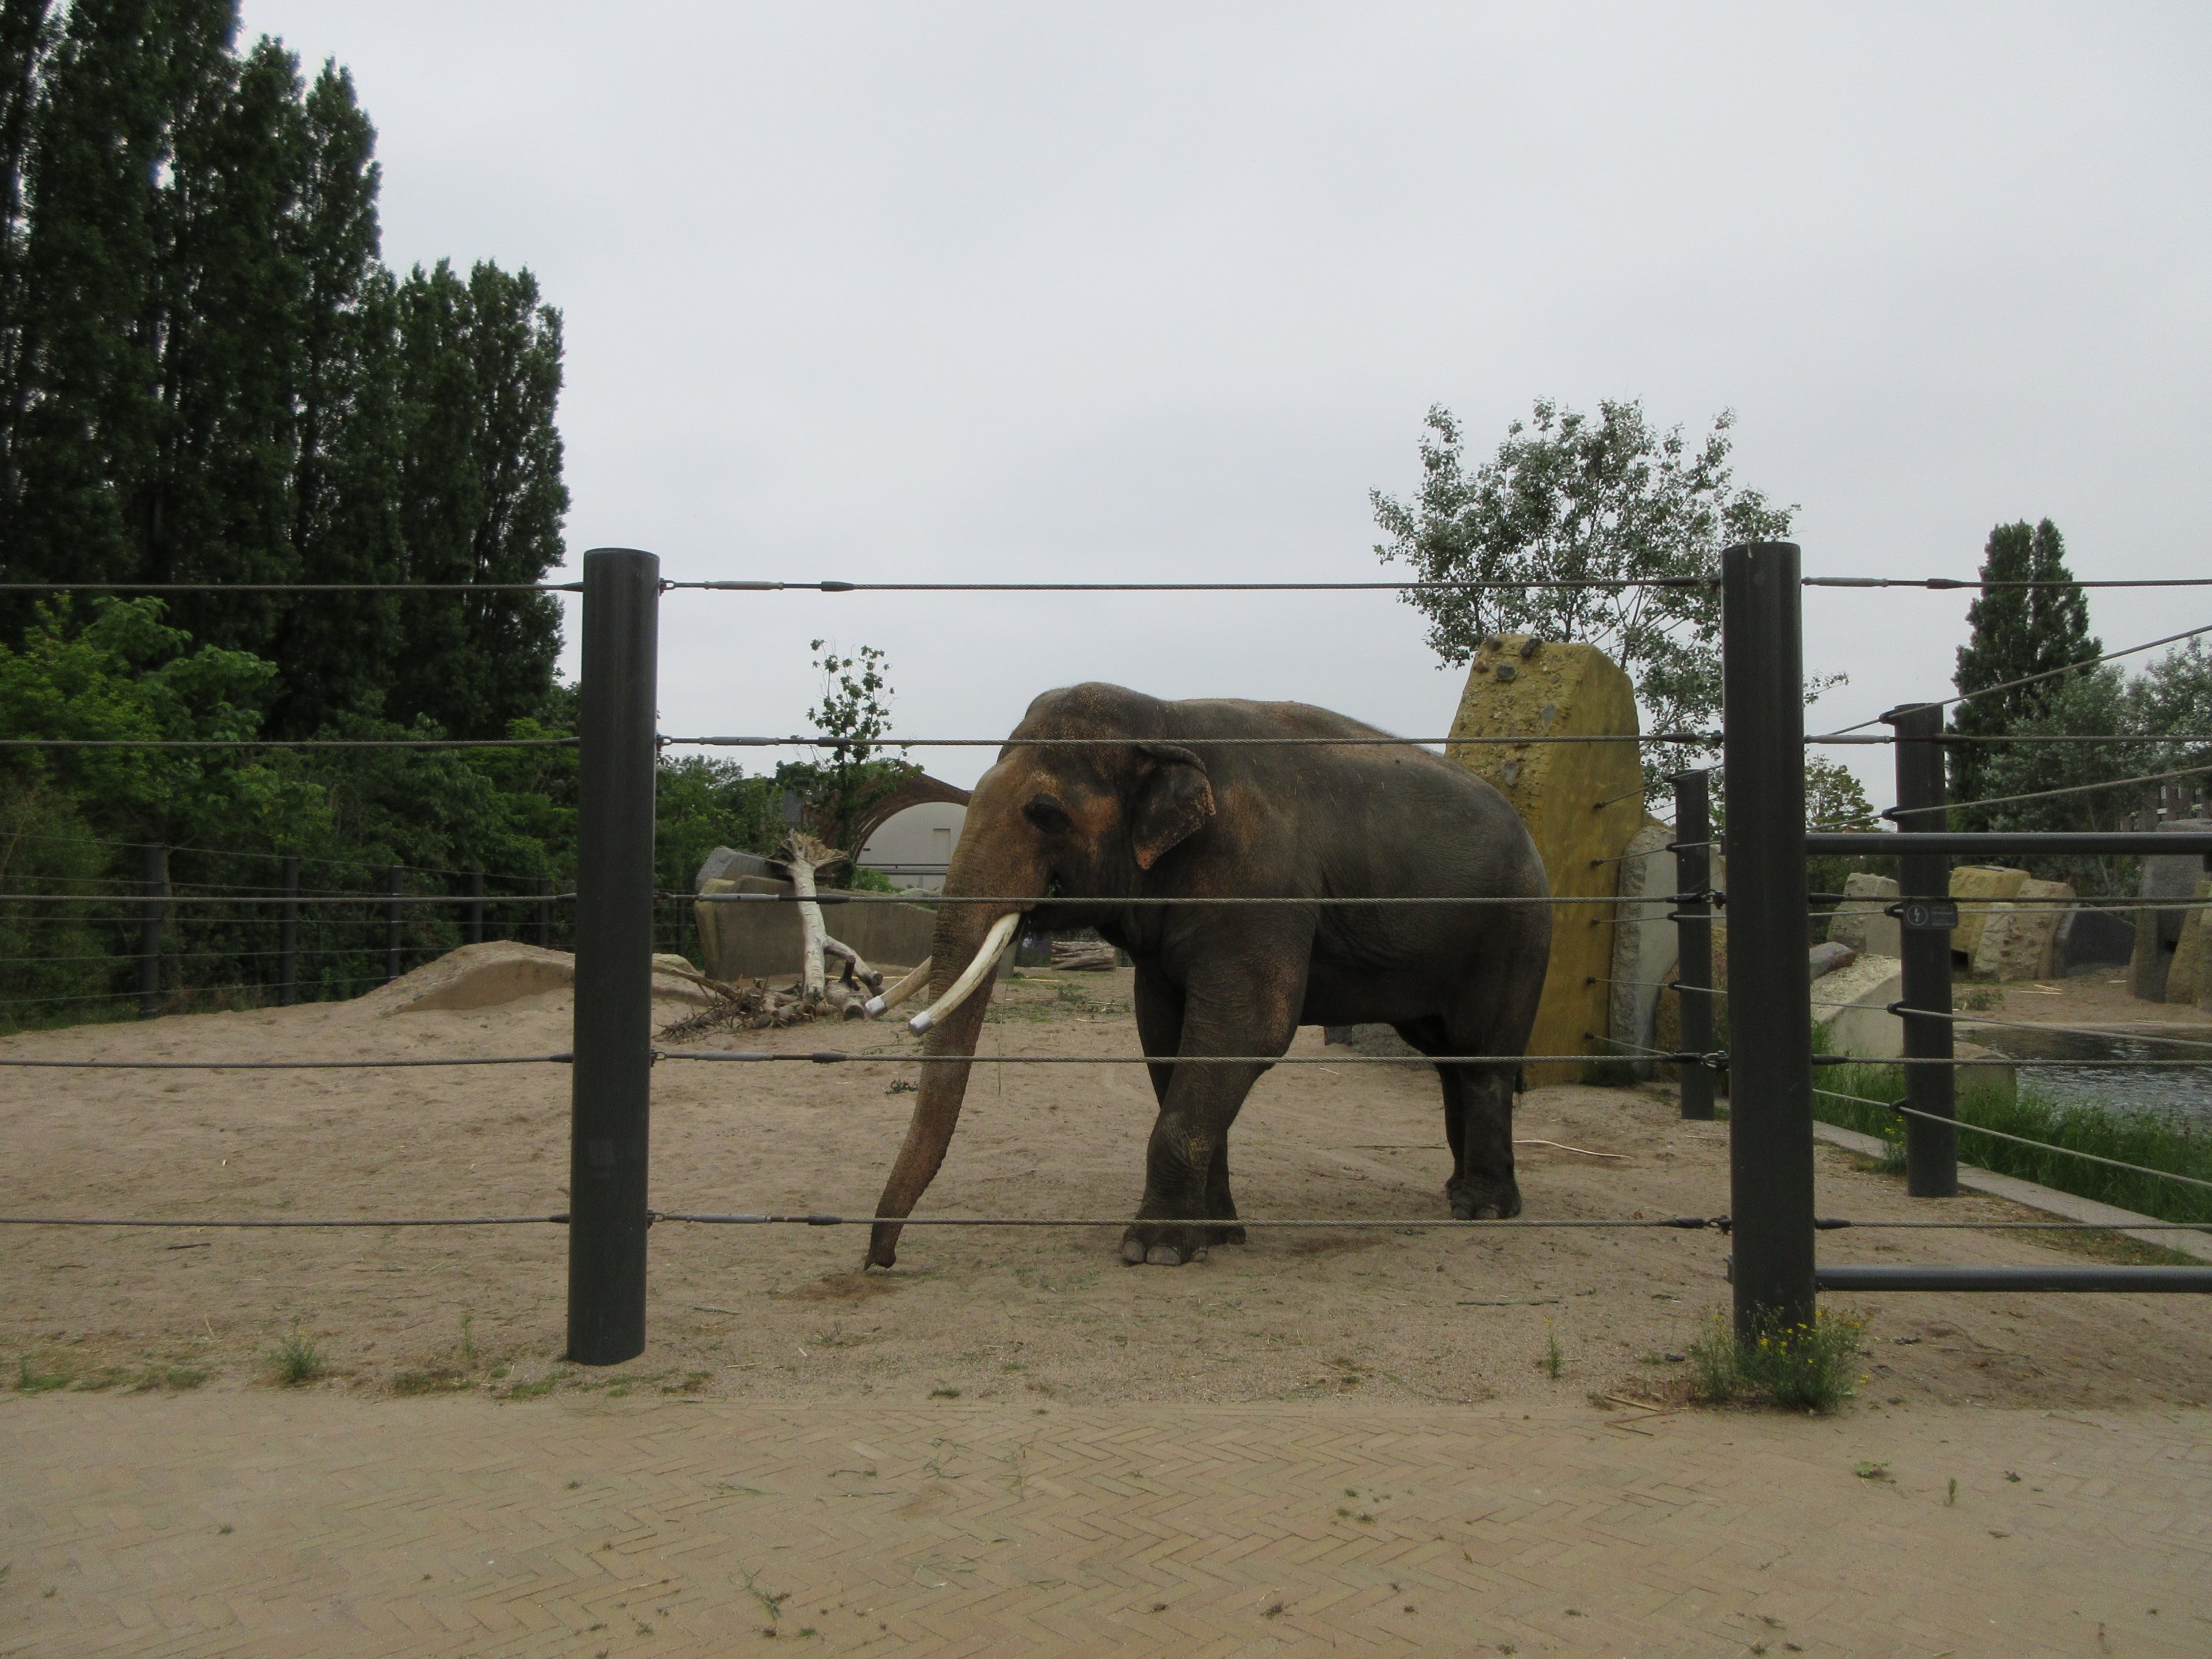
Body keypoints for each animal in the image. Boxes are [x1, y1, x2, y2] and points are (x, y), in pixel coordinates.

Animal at [865, 682, 1551, 1270]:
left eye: (1046, 813)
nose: (882, 1261)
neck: (1165, 721)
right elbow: (1166, 1040)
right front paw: (1216, 1236)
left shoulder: (1260, 886)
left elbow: (1244, 1031)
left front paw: (1154, 1250)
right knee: (1448, 1059)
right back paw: (1457, 1195)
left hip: (1516, 934)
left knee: (1483, 1058)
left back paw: (1483, 1210)